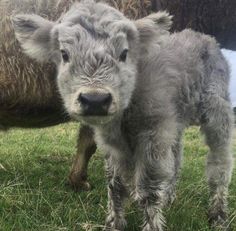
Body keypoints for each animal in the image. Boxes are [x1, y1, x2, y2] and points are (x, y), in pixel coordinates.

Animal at [12, 0, 234, 230]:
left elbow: (148, 188)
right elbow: (115, 184)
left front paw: (152, 225)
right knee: (177, 155)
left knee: (220, 163)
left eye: (124, 53)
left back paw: (218, 215)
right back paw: (170, 197)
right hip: (176, 119)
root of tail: (205, 37)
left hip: (217, 110)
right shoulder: (116, 142)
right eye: (64, 54)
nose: (95, 99)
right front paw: (113, 223)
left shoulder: (154, 134)